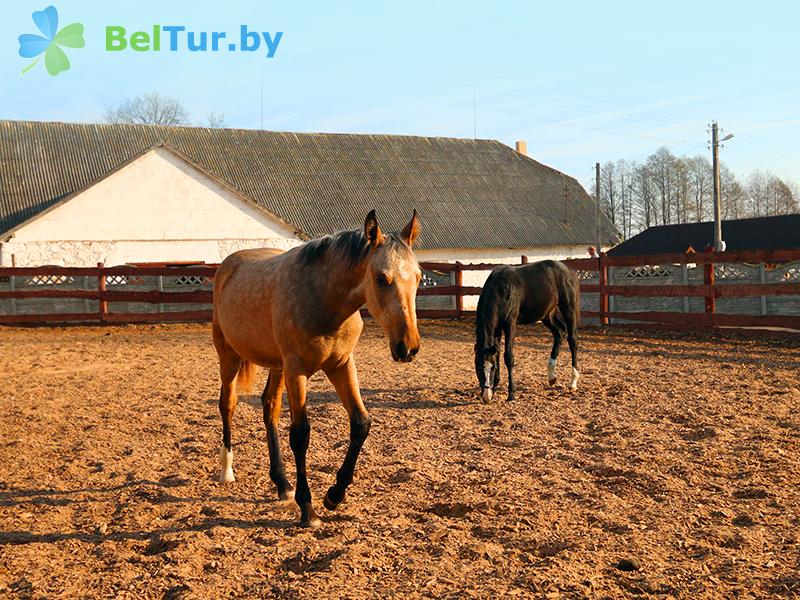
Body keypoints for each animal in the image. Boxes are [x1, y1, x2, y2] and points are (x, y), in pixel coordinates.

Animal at [212, 210, 424, 524]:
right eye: (381, 278)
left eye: (419, 277)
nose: (407, 347)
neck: (323, 298)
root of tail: (228, 264)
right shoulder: (297, 370)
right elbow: (300, 434)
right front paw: (308, 507)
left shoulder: (341, 366)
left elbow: (360, 423)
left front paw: (335, 495)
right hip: (229, 357)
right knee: (228, 403)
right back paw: (227, 470)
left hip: (277, 366)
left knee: (269, 407)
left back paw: (282, 483)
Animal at [476, 258, 580, 404]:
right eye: (479, 368)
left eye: (492, 369)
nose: (486, 397)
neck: (502, 289)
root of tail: (569, 271)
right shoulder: (497, 328)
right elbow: (497, 354)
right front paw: (495, 388)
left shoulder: (510, 324)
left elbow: (508, 357)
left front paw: (511, 394)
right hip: (547, 315)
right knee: (559, 333)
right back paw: (551, 377)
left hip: (568, 309)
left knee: (572, 340)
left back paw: (573, 382)